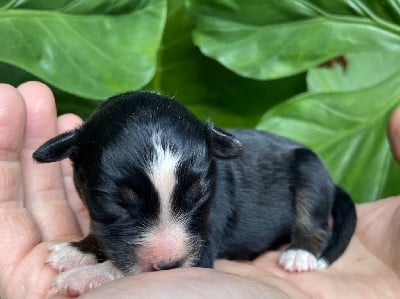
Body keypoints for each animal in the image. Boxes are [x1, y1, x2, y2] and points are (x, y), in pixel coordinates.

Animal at [32, 91, 356, 298]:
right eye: (116, 204)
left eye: (198, 196)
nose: (168, 266)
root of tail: (333, 182)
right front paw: (78, 249)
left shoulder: (203, 245)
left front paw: (87, 275)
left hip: (310, 171)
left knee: (316, 227)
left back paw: (299, 253)